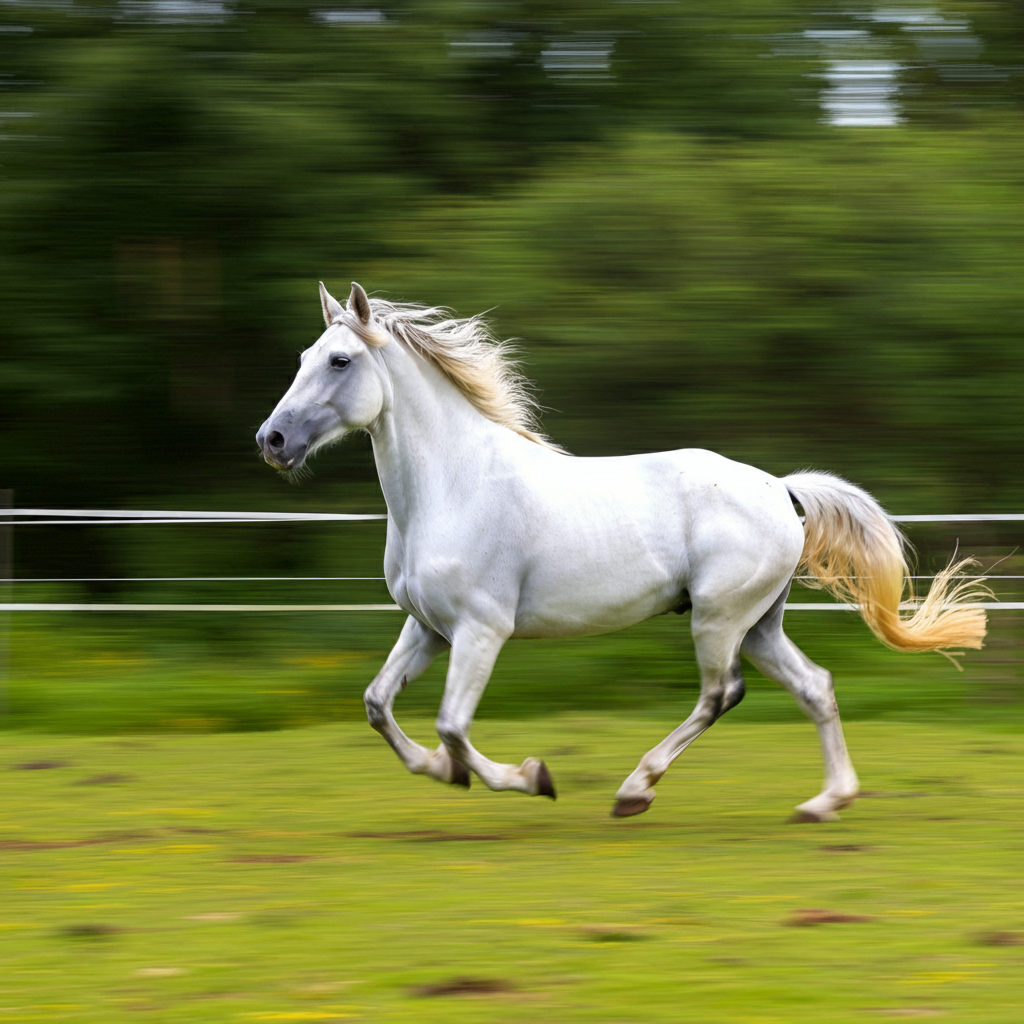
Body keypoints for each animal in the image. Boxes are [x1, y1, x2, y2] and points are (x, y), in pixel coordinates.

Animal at [260, 282, 987, 823]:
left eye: (340, 361)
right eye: (302, 356)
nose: (272, 440)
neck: (453, 487)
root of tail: (781, 491)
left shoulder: (481, 629)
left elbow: (453, 725)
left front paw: (533, 776)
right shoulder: (429, 627)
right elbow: (379, 706)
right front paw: (446, 773)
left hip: (719, 618)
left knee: (720, 694)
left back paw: (636, 790)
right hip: (758, 623)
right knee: (815, 687)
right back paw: (825, 802)